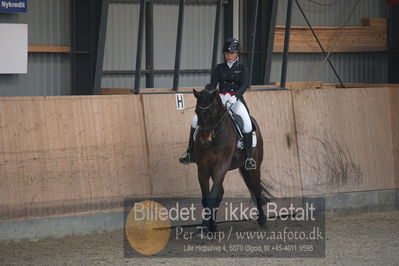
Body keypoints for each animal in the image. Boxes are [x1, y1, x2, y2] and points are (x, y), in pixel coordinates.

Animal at [193, 88, 272, 232]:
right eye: (197, 111)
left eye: (213, 111)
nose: (204, 141)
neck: (215, 137)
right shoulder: (203, 169)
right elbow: (207, 197)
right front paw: (208, 225)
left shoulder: (221, 167)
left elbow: (212, 195)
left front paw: (205, 225)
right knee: (221, 192)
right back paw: (213, 226)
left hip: (254, 166)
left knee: (256, 188)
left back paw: (262, 220)